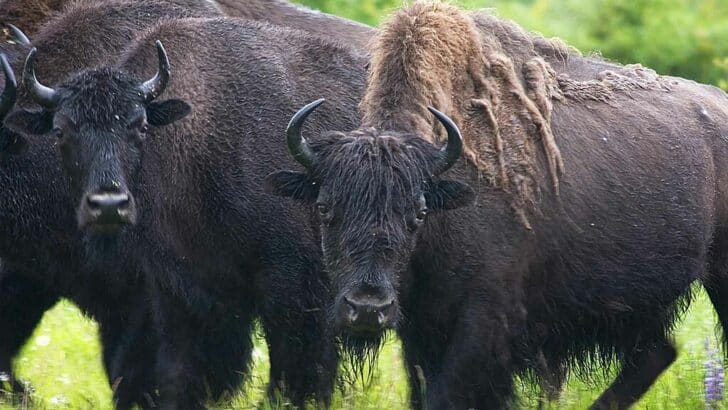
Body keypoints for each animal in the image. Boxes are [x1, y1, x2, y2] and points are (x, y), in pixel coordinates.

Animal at [266, 3, 728, 409]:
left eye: (418, 213)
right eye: (325, 208)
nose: (366, 308)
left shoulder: (483, 322)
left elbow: (446, 395)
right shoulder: (420, 328)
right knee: (657, 353)